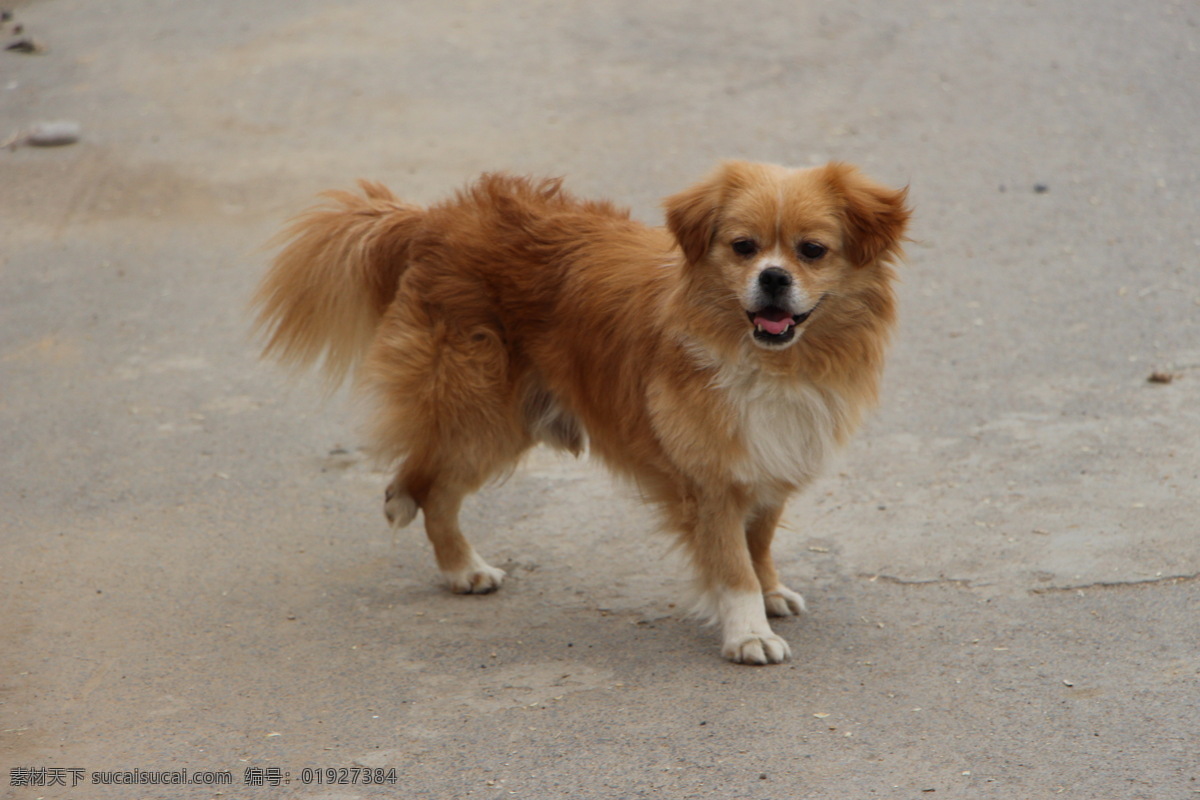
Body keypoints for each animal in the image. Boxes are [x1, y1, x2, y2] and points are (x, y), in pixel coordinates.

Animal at [255, 163, 907, 662]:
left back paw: (456, 562)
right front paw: (748, 633)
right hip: (482, 411)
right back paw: (455, 559)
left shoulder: (768, 465)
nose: (772, 277)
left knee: (433, 482)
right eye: (742, 247)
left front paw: (769, 593)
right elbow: (731, 564)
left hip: (510, 419)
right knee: (427, 482)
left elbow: (760, 544)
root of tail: (434, 221)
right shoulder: (713, 482)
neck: (770, 362)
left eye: (812, 251)